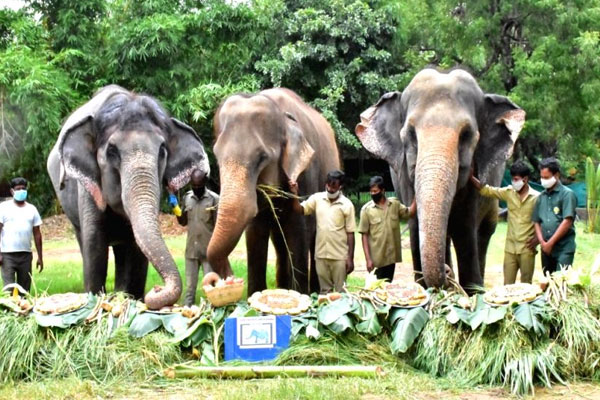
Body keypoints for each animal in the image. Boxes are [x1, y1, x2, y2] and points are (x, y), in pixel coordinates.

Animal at [45, 84, 209, 310]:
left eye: (162, 150)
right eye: (112, 151)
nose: (156, 288)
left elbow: (138, 252)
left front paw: (131, 301)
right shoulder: (88, 190)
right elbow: (94, 245)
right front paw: (95, 301)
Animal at [206, 89, 340, 296]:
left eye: (262, 158)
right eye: (217, 156)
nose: (228, 277)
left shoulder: (306, 174)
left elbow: (299, 231)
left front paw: (301, 295)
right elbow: (255, 234)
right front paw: (255, 297)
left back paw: (316, 292)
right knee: (280, 244)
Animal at [356, 69, 524, 292]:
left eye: (466, 135)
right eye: (410, 135)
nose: (446, 272)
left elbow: (465, 229)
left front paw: (473, 292)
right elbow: (416, 229)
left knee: (485, 231)